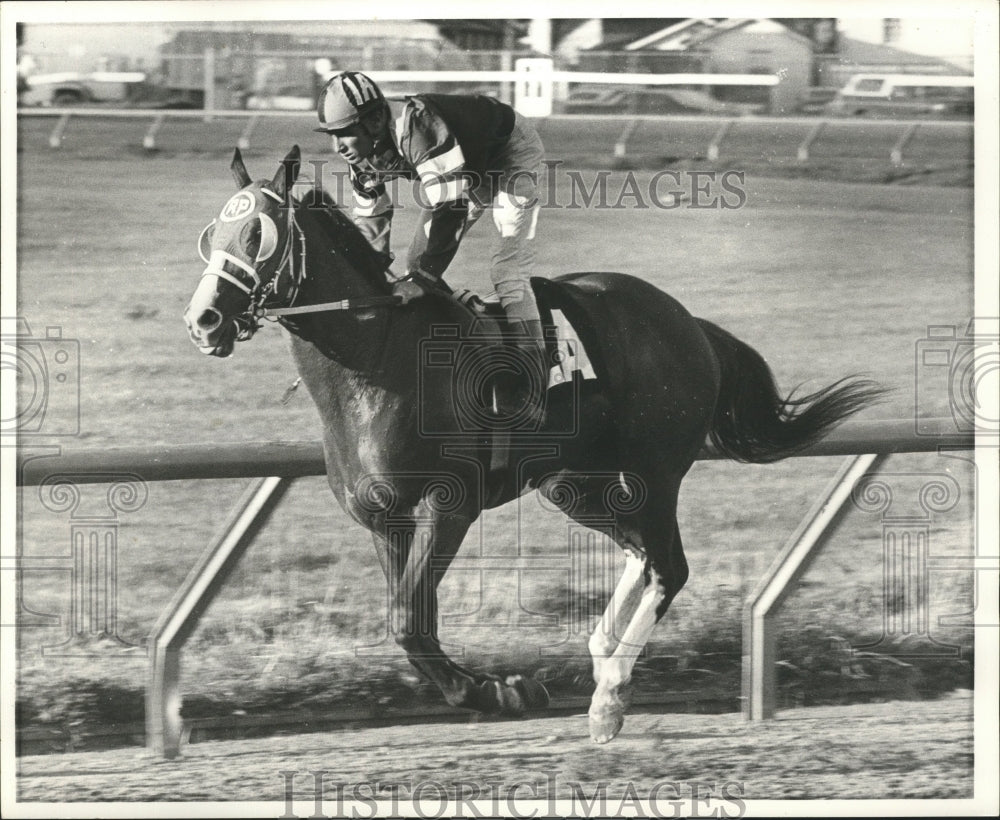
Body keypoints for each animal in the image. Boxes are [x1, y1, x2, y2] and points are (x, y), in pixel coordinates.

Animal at [184, 147, 880, 744]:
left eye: (257, 236)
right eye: (213, 235)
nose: (203, 320)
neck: (374, 362)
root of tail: (691, 325)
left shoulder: (449, 503)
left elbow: (408, 621)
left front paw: (501, 692)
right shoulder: (384, 518)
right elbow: (410, 622)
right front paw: (499, 686)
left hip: (654, 470)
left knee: (669, 566)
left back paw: (610, 696)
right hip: (574, 484)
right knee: (641, 552)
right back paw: (601, 657)